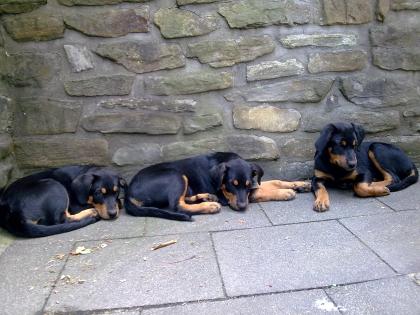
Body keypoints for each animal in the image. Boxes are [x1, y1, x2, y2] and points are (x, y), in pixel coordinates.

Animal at [123, 152, 310, 222]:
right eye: (231, 185)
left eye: (246, 184)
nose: (242, 207)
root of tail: (128, 193)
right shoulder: (231, 197)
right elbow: (263, 192)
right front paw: (286, 193)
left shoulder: (252, 184)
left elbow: (275, 181)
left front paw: (302, 184)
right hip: (175, 175)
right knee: (177, 205)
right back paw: (210, 205)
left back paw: (206, 197)